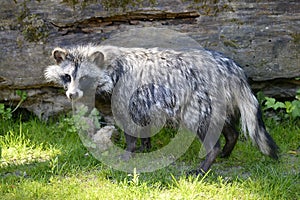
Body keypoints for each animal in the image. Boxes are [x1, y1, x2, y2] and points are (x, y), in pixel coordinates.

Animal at [45, 44, 278, 174]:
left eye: (84, 78)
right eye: (67, 76)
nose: (72, 95)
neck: (112, 65)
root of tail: (231, 68)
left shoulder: (125, 95)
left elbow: (129, 129)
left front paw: (128, 152)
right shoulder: (142, 103)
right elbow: (145, 125)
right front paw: (145, 146)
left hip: (198, 102)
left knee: (203, 127)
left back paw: (208, 161)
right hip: (218, 103)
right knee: (228, 127)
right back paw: (228, 146)